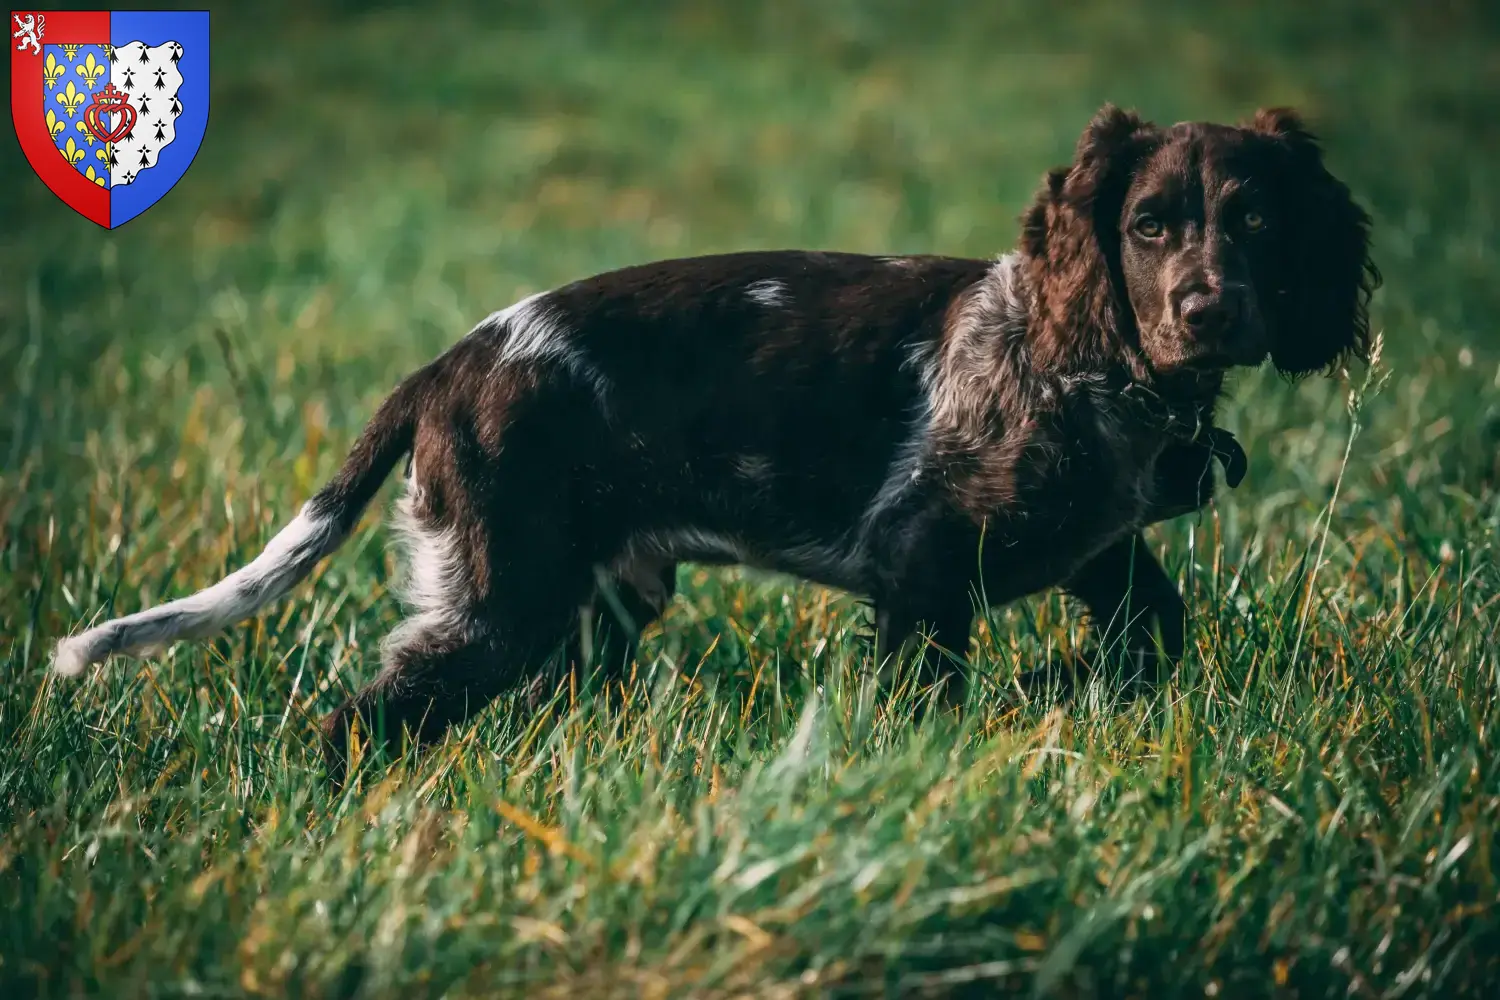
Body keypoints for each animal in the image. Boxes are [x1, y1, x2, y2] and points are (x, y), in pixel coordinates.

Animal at [52, 105, 1374, 779]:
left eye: (1259, 221)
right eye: (1148, 224)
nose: (1209, 309)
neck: (1097, 368)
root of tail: (451, 363)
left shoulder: (1100, 550)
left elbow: (1153, 634)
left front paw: (1065, 687)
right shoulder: (919, 556)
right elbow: (935, 687)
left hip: (589, 611)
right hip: (503, 599)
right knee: (360, 718)